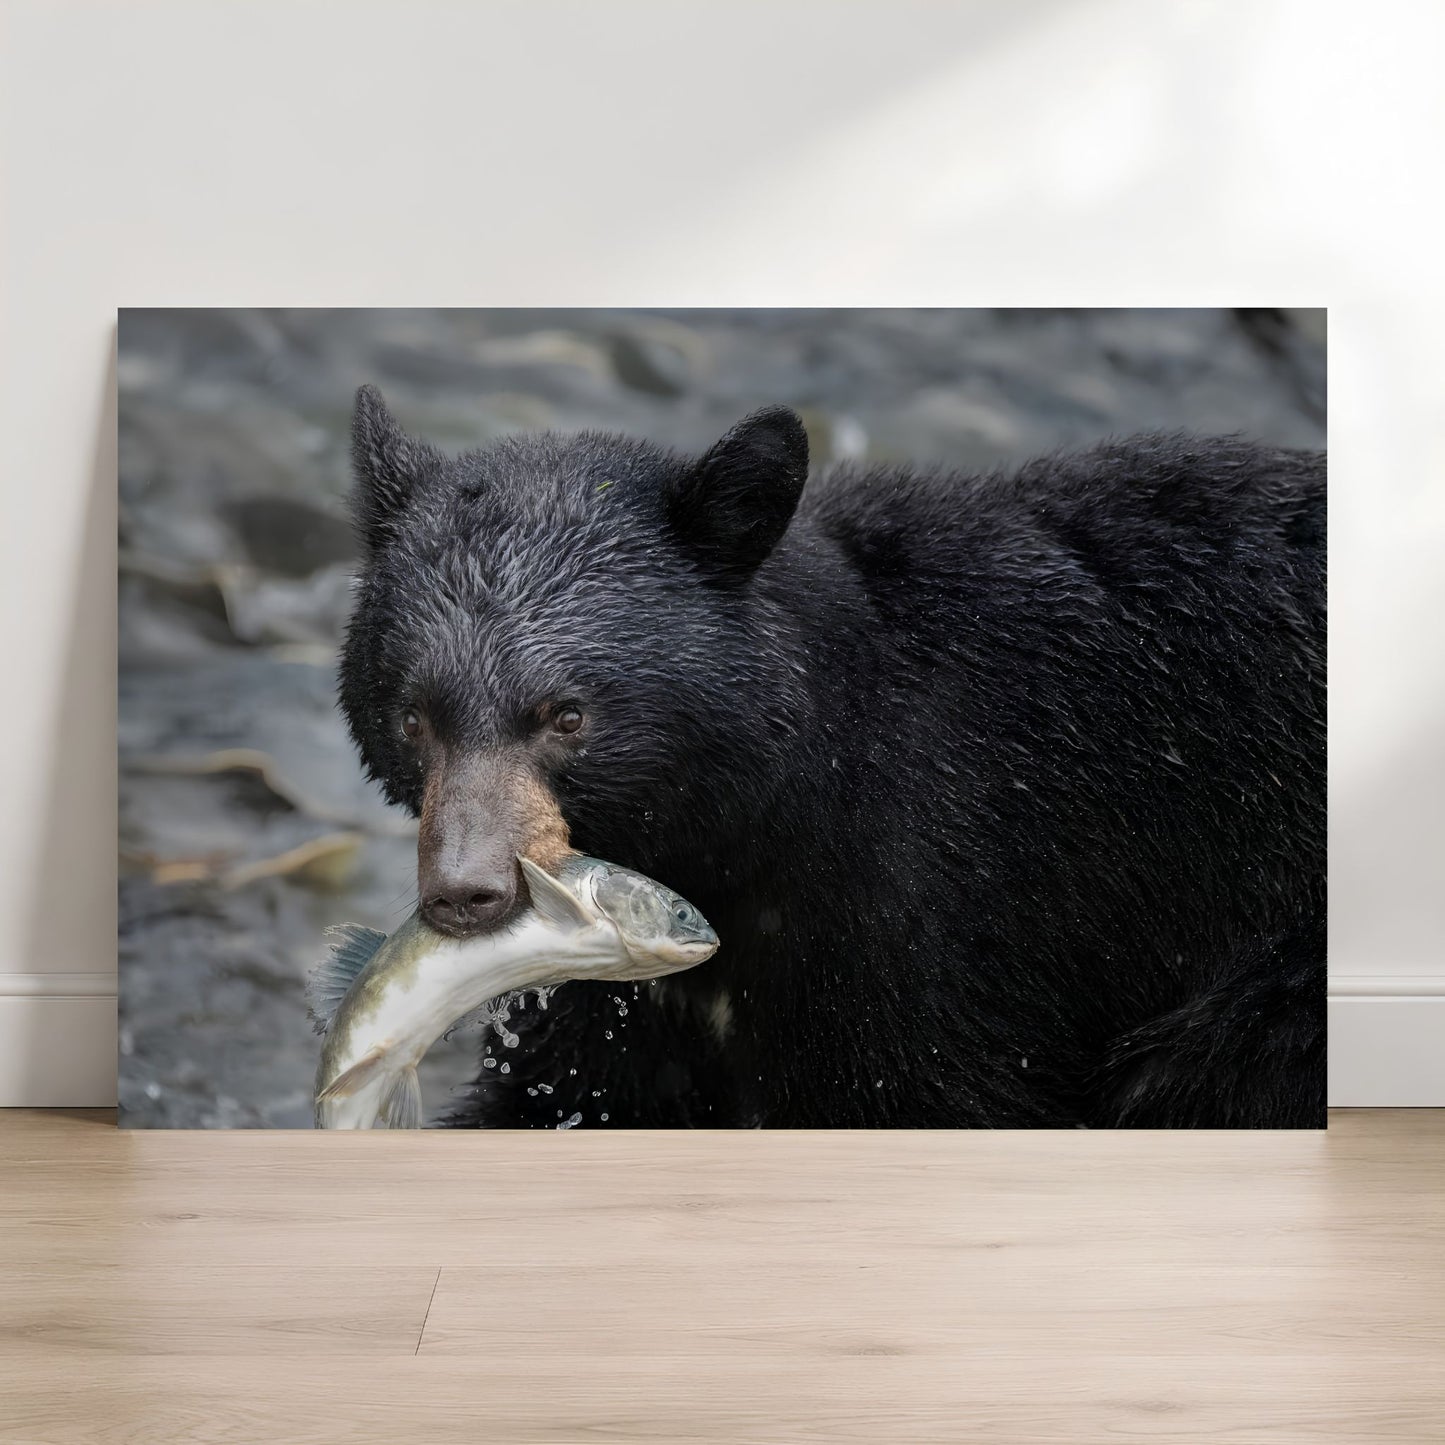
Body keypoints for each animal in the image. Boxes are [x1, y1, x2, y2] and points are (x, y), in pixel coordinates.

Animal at [338, 385, 1326, 1129]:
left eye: (567, 715)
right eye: (414, 715)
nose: (465, 893)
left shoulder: (931, 918)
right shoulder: (611, 984)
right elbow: (576, 1094)